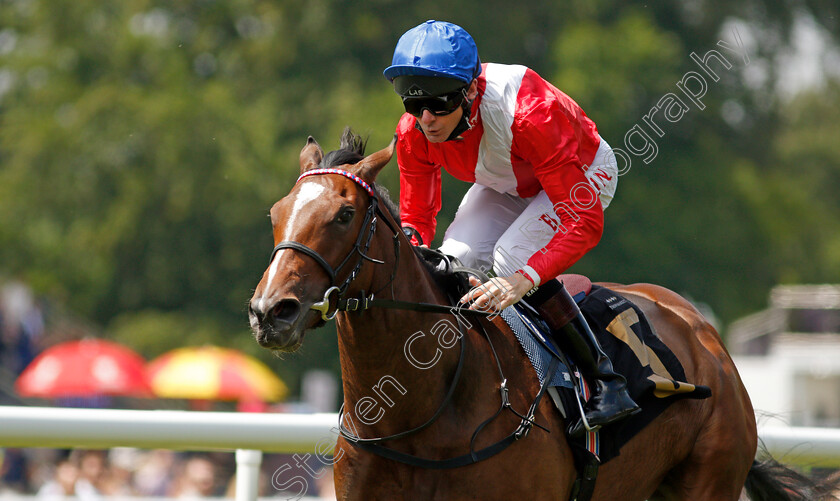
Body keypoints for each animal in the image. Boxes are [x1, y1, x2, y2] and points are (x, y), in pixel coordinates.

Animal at [248, 130, 832, 500]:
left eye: (345, 214)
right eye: (276, 213)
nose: (270, 311)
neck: (417, 416)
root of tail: (704, 335)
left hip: (708, 480)